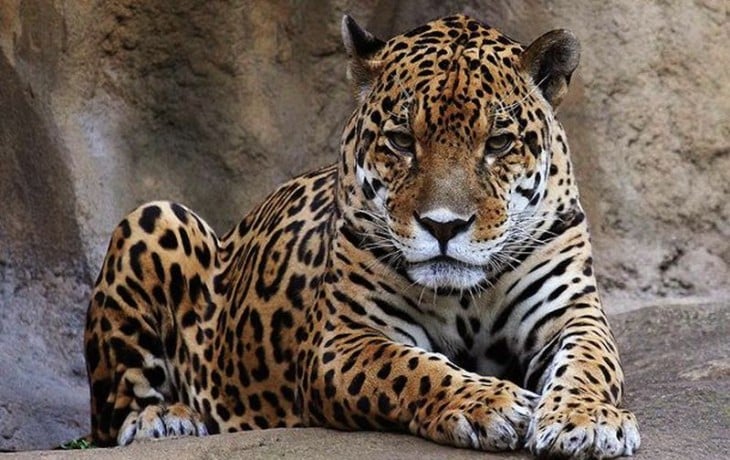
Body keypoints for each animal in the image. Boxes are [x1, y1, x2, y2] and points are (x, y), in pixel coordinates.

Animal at [84, 14, 641, 458]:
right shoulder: (344, 340)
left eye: (499, 143)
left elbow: (591, 363)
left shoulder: (571, 313)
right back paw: (165, 420)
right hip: (154, 217)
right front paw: (491, 403)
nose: (443, 226)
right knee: (113, 415)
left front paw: (586, 420)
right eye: (401, 141)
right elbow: (412, 369)